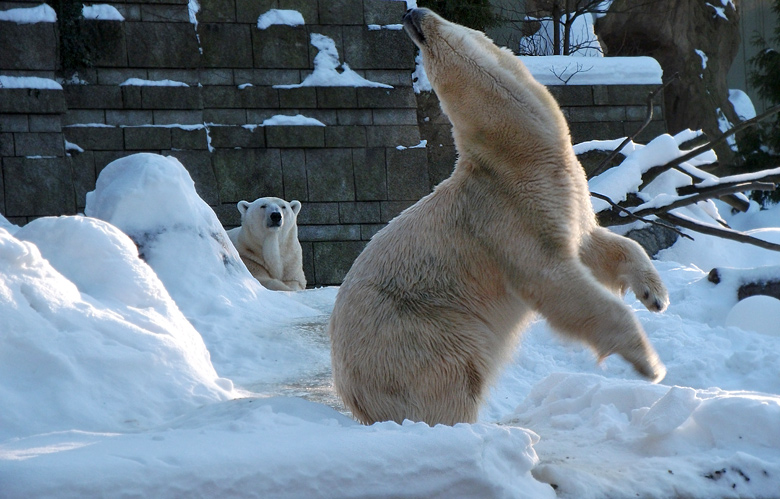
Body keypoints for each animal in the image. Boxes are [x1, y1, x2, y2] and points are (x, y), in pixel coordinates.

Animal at [326, 7, 668, 426]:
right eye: (425, 47)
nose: (409, 12)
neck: (520, 155)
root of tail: (351, 394)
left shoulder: (561, 193)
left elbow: (594, 244)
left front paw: (654, 293)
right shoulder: (506, 212)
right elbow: (554, 282)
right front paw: (649, 364)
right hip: (418, 330)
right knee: (451, 377)